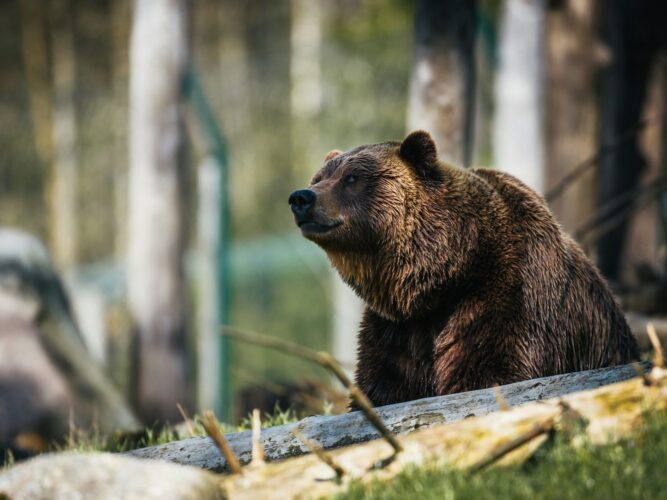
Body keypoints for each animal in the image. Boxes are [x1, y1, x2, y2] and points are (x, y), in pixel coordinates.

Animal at [288, 130, 640, 406]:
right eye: (319, 178)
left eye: (352, 178)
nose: (301, 198)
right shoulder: (396, 329)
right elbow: (383, 385)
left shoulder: (507, 295)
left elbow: (491, 370)